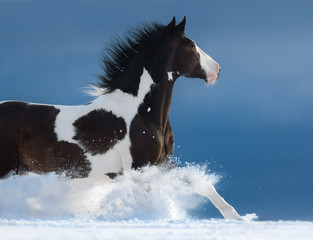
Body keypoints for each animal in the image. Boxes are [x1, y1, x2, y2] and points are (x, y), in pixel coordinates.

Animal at [0, 16, 241, 219]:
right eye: (191, 45)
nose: (217, 70)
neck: (144, 114)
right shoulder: (140, 168)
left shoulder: (161, 165)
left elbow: (203, 185)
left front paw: (236, 219)